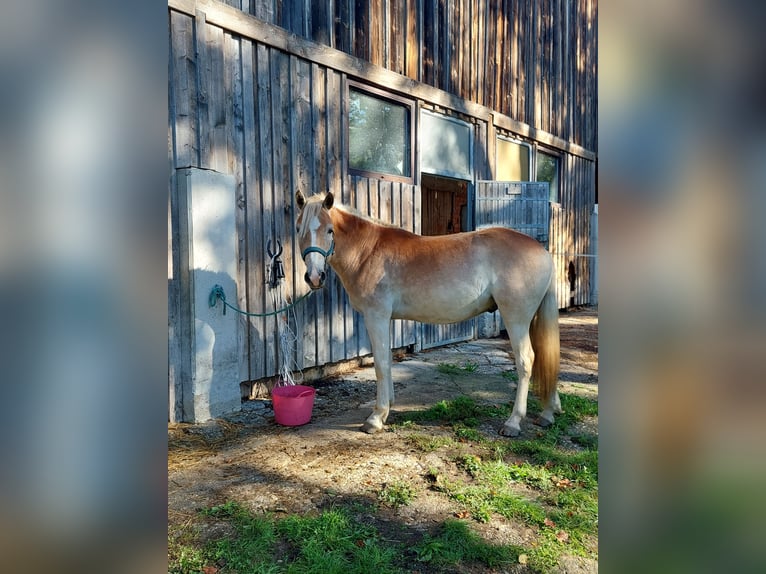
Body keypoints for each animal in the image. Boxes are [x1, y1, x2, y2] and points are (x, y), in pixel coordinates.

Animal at [292, 190, 560, 436]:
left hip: (516, 318)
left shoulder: (376, 316)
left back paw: (513, 422)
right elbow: (387, 360)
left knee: (526, 360)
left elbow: (380, 364)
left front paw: (376, 418)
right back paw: (548, 413)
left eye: (329, 230)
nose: (315, 277)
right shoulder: (386, 319)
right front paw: (387, 408)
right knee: (544, 355)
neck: (368, 251)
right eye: (298, 229)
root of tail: (543, 252)